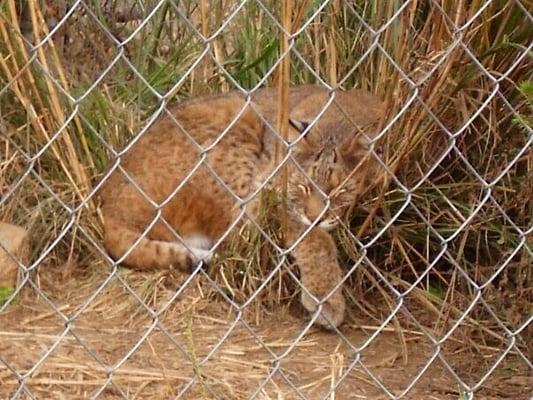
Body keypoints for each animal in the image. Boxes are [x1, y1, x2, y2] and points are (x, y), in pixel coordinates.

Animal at [98, 85, 382, 328]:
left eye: (338, 191)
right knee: (235, 241)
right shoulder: (269, 189)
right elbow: (315, 239)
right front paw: (326, 299)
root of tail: (106, 207)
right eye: (302, 187)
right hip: (237, 120)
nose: (316, 218)